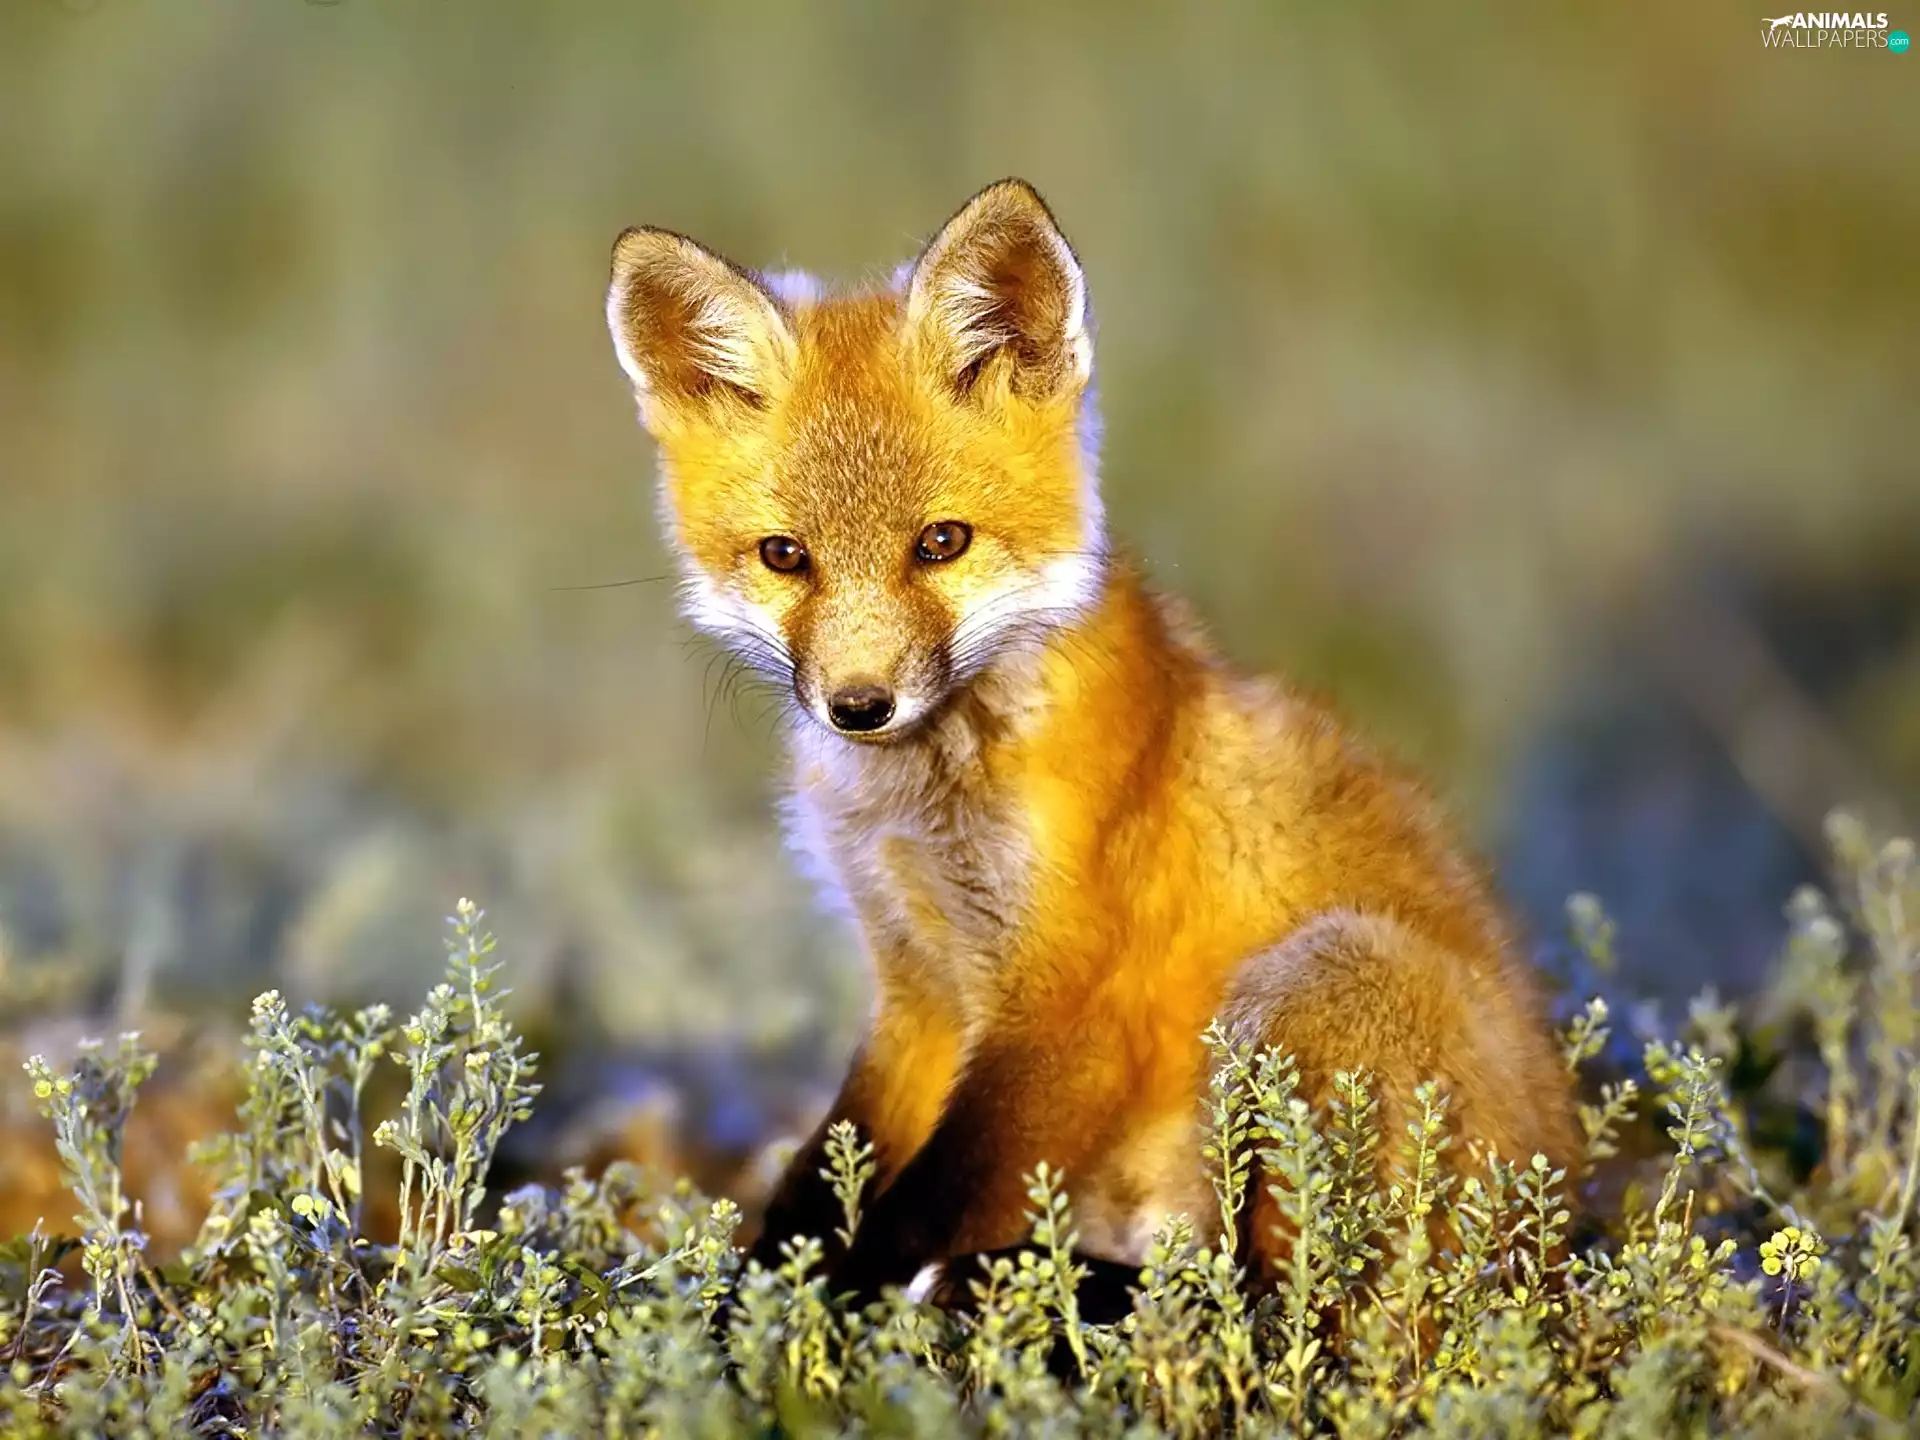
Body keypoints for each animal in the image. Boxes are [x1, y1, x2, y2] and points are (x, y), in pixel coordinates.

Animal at [603, 178, 1576, 1305]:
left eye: (941, 543)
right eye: (784, 556)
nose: (859, 705)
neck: (924, 804)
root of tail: (1561, 1231)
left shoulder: (1075, 1006)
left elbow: (916, 1209)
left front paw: (822, 1317)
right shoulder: (917, 984)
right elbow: (820, 1176)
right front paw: (756, 1295)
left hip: (1318, 976)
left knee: (1284, 1300)